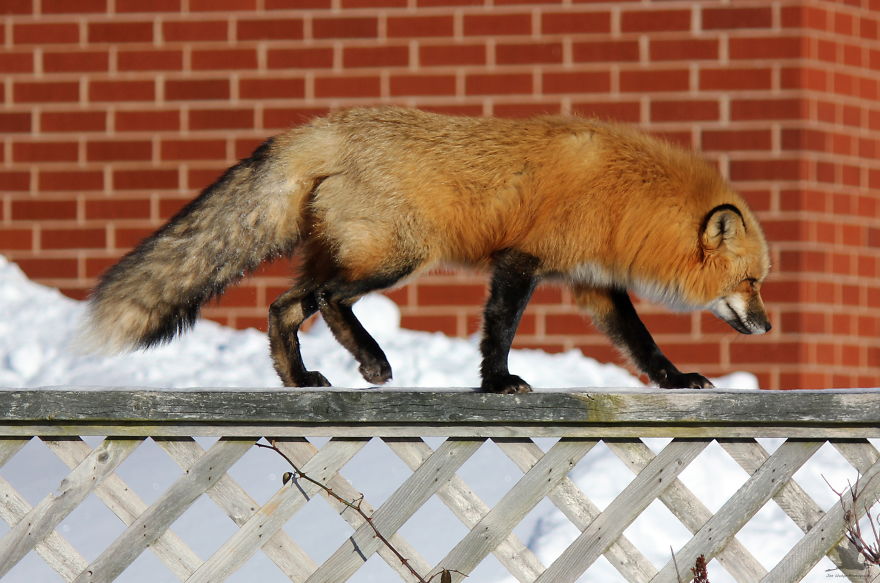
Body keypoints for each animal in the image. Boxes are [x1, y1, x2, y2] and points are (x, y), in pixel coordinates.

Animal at [82, 106, 771, 393]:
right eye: (753, 283)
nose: (766, 327)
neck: (625, 199)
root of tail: (325, 127)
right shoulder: (520, 261)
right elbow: (499, 331)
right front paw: (497, 384)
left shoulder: (592, 284)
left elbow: (642, 344)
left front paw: (676, 380)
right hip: (395, 259)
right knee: (329, 299)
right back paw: (372, 360)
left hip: (344, 256)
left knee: (282, 308)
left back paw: (300, 380)